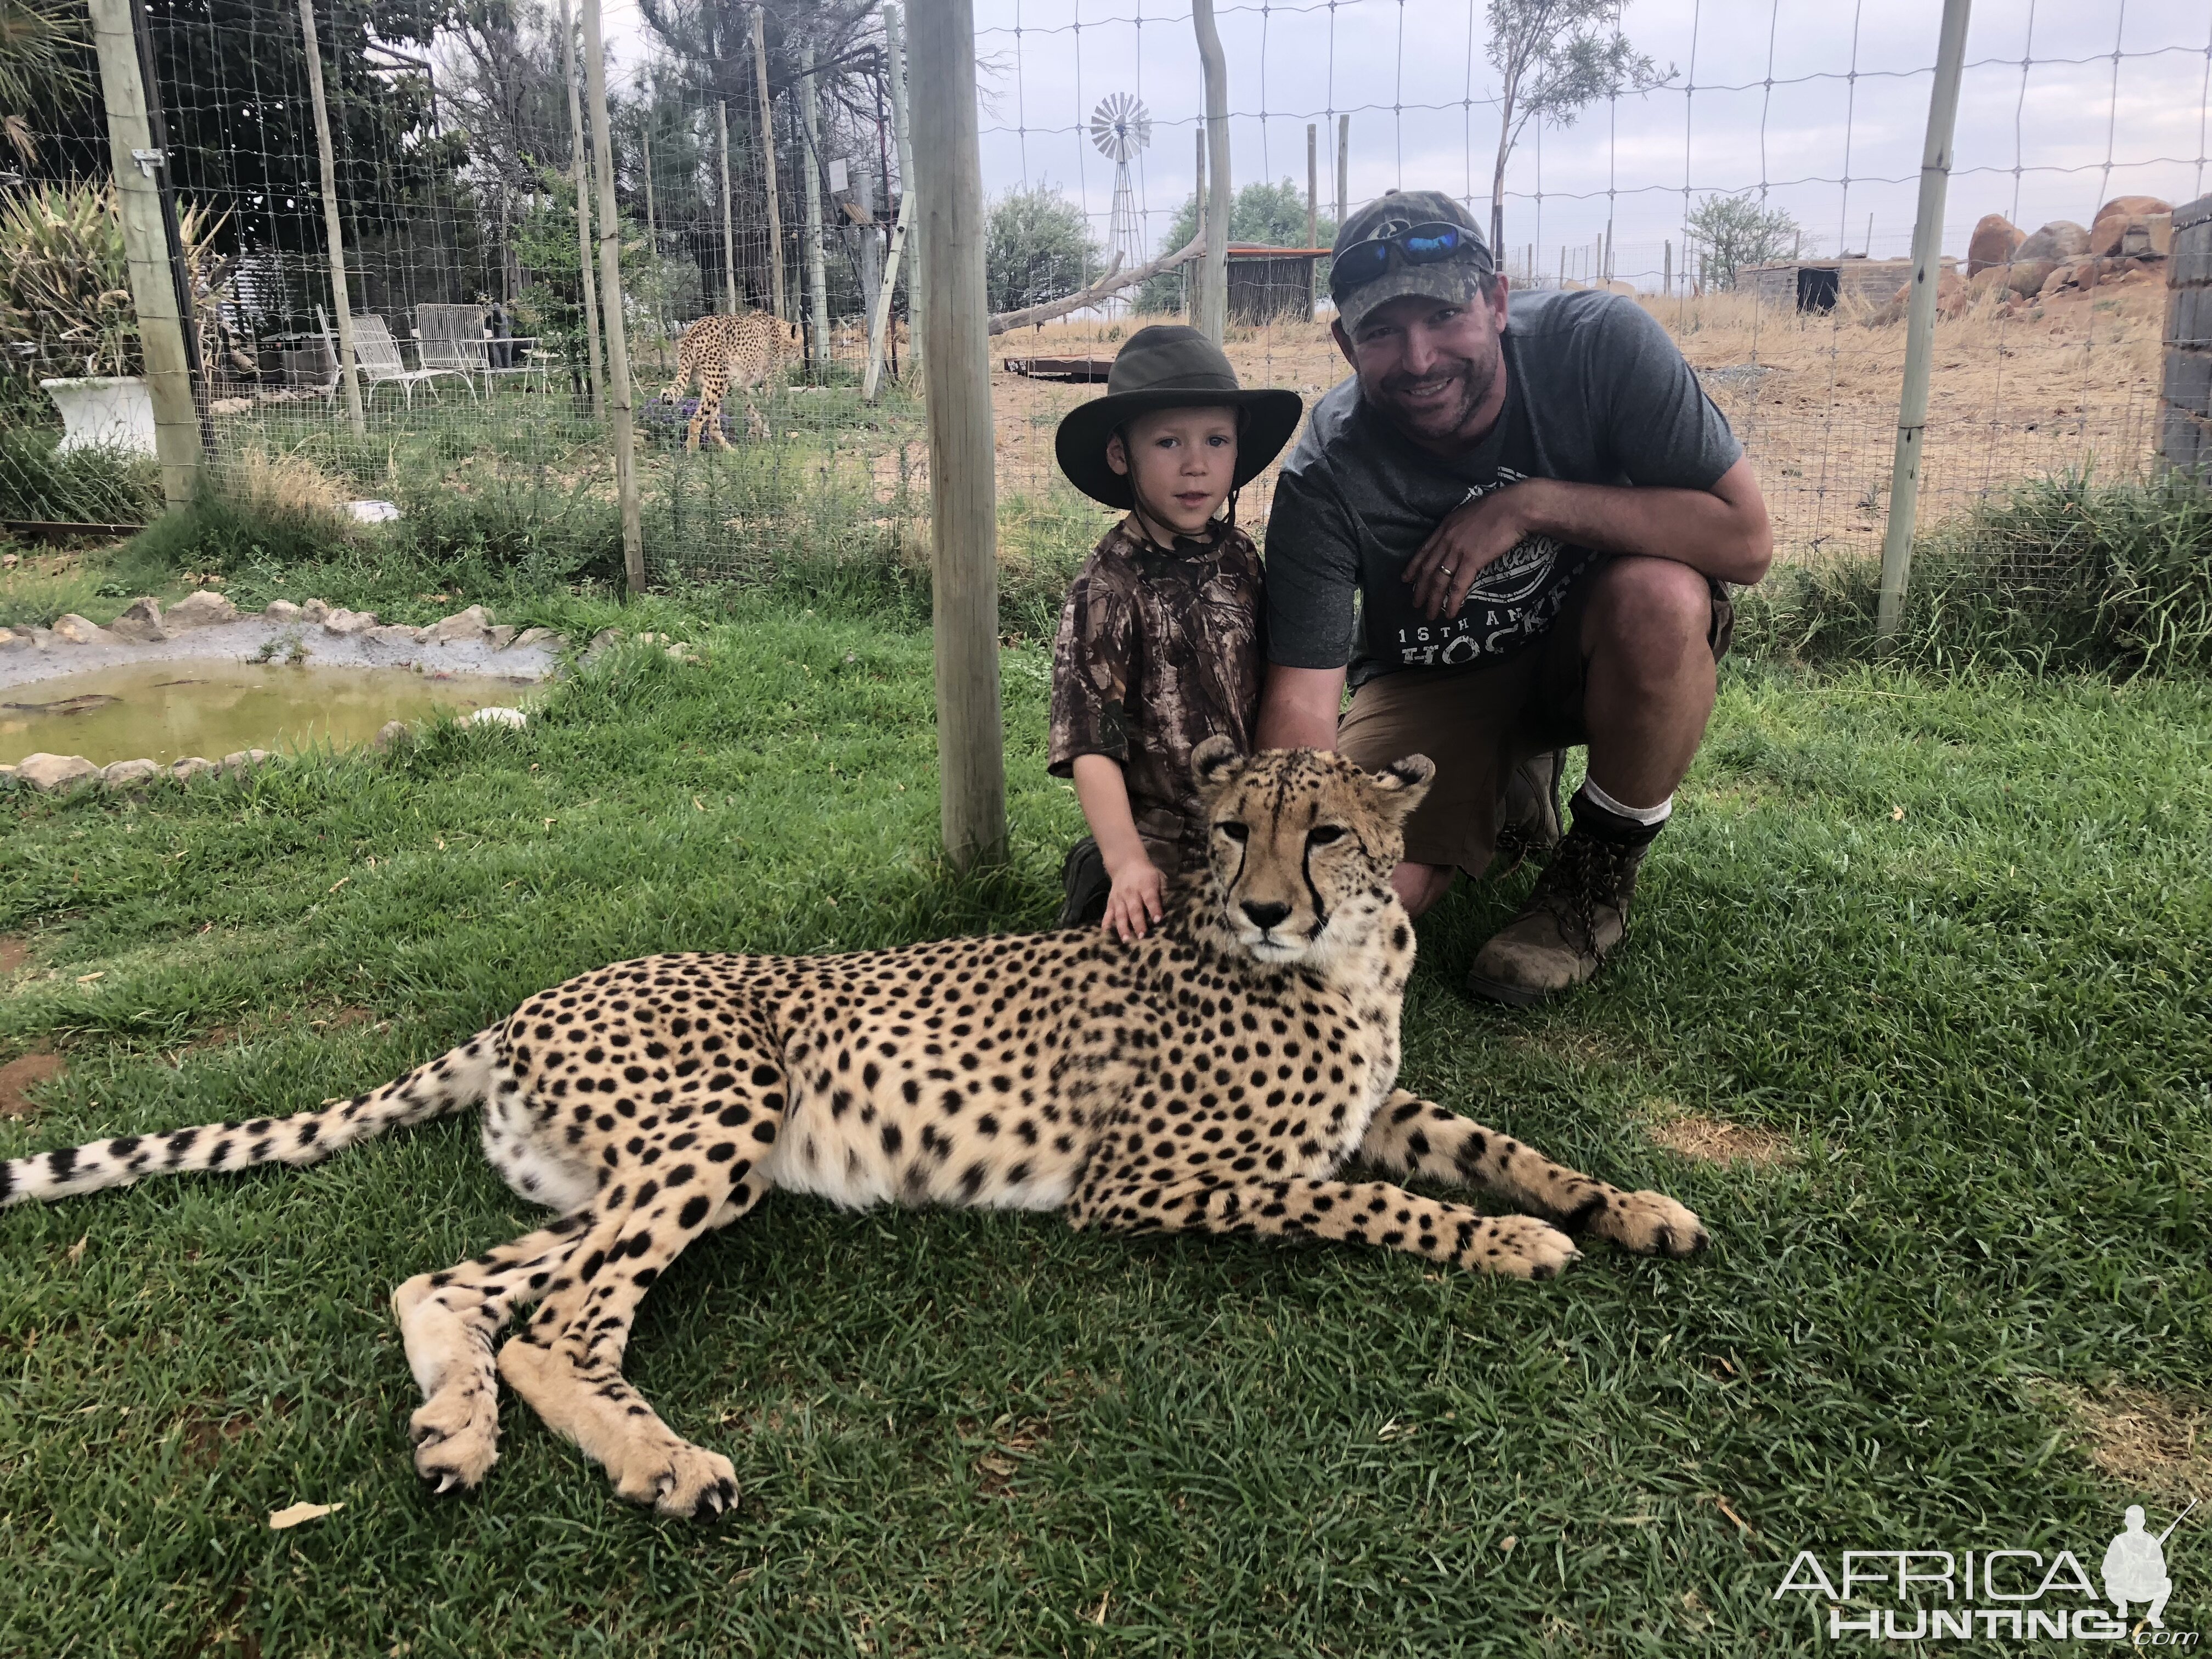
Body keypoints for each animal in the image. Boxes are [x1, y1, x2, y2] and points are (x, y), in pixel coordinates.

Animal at [0, 747, 1707, 1531]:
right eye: (1235, 829)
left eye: (1331, 831)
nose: (1274, 902)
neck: (1342, 964)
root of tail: (539, 994)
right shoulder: (1151, 1180)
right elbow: (1370, 1205)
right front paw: (1511, 1244)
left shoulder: (1381, 1103)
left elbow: (1495, 1144)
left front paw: (1630, 1207)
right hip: (724, 1119)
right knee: (566, 1318)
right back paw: (662, 1463)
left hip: (612, 1175)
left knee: (454, 1285)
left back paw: (459, 1431)